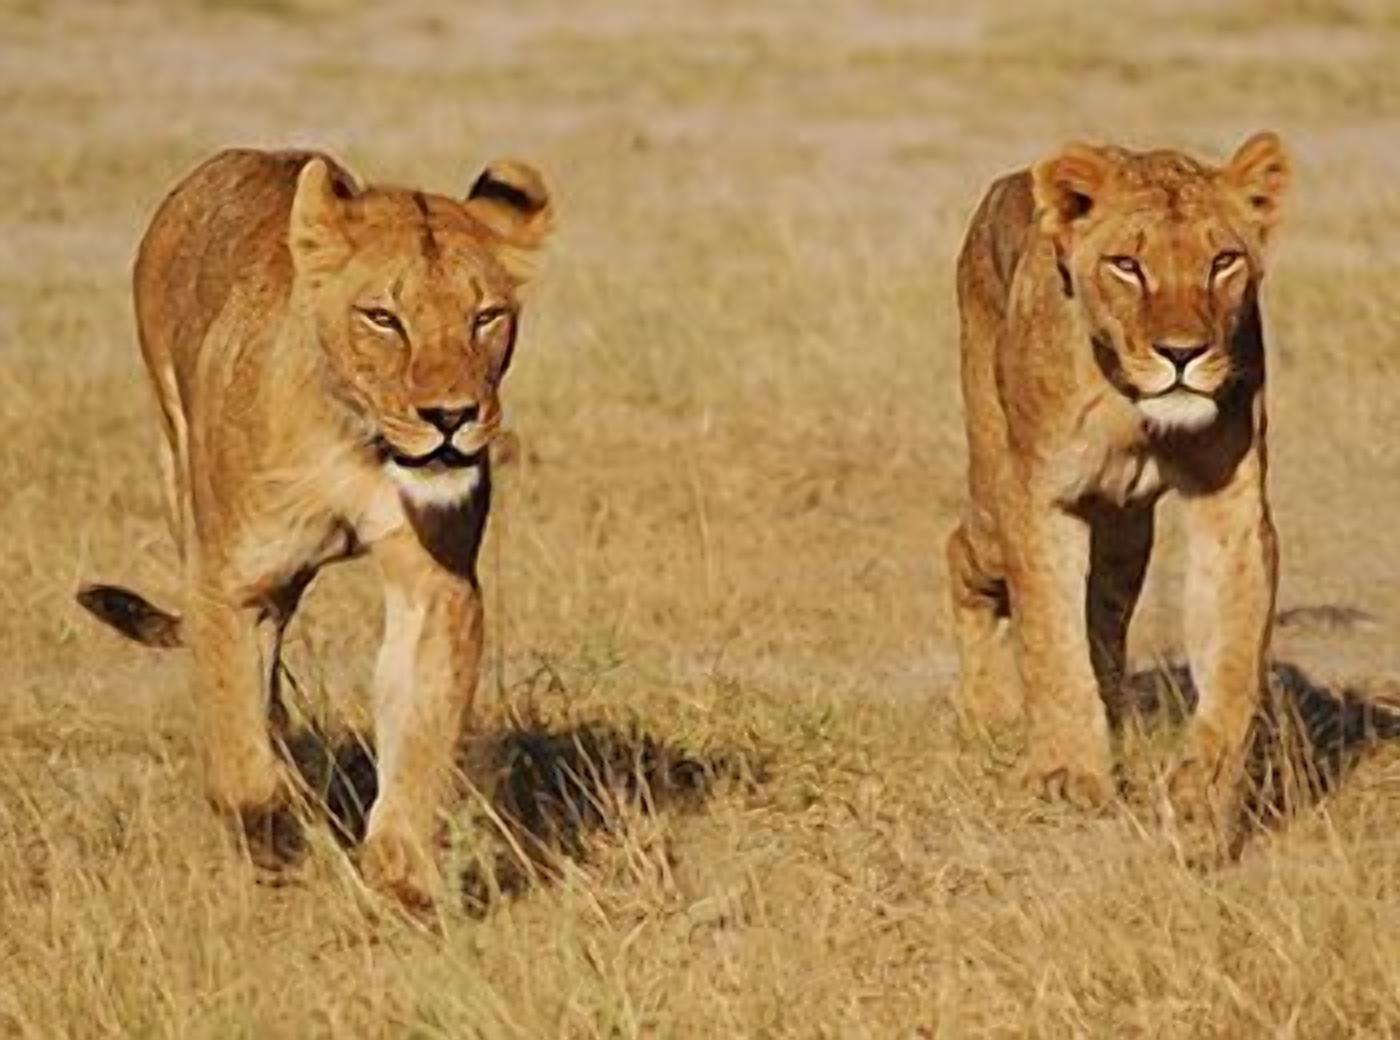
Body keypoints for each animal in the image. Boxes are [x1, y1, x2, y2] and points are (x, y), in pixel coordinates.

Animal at [76, 147, 553, 909]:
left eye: (485, 317)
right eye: (383, 317)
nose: (451, 416)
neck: (359, 440)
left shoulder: (436, 583)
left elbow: (420, 729)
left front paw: (403, 878)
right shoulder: (229, 582)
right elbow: (238, 749)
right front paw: (276, 833)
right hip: (179, 470)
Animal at [946, 132, 1290, 857]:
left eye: (1222, 262)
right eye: (1127, 266)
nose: (1182, 354)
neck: (1132, 409)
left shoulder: (1232, 506)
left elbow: (1233, 660)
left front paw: (1199, 803)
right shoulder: (1038, 500)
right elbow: (1050, 642)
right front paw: (1067, 775)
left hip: (1124, 535)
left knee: (1102, 622)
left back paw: (1115, 721)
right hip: (994, 497)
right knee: (961, 551)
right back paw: (989, 713)